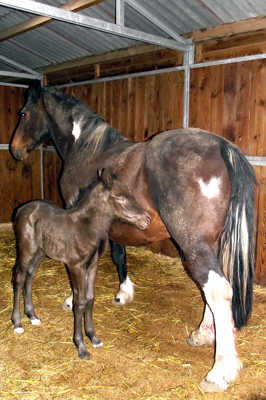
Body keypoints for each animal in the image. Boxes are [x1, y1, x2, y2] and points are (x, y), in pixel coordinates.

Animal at [11, 169, 152, 360]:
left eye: (130, 194)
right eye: (118, 196)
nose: (147, 220)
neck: (87, 227)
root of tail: (21, 209)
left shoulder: (92, 265)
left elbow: (90, 298)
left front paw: (93, 337)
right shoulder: (75, 266)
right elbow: (79, 301)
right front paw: (81, 346)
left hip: (40, 252)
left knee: (30, 276)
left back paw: (32, 316)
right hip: (26, 250)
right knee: (19, 277)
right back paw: (17, 323)